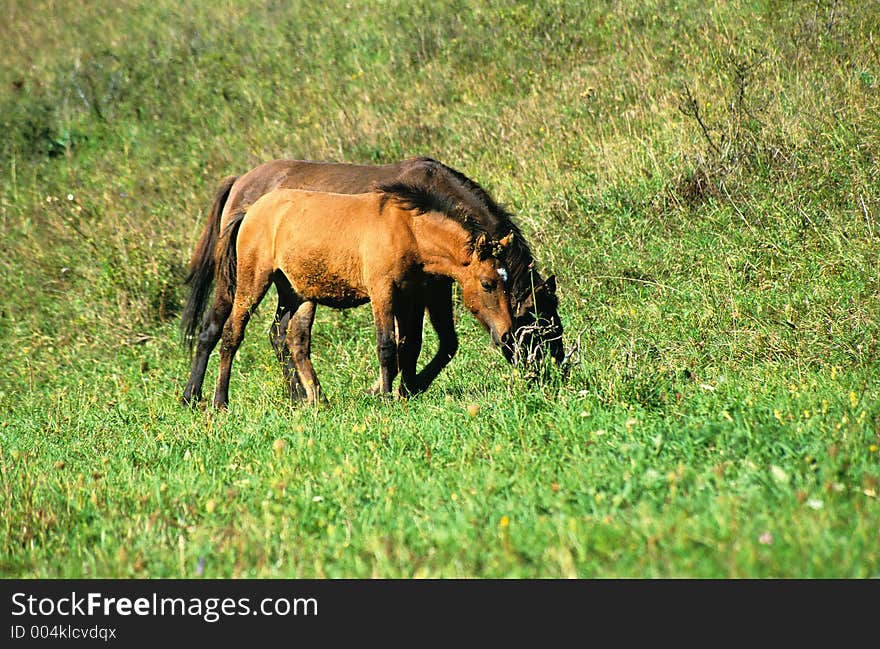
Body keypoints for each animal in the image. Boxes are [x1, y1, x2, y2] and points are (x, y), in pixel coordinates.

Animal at [180, 157, 564, 400]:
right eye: (539, 325)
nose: (550, 376)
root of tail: (240, 185)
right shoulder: (412, 290)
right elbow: (408, 343)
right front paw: (392, 389)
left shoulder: (421, 289)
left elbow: (427, 343)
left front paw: (406, 388)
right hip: (242, 281)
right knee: (216, 330)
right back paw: (197, 397)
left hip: (294, 288)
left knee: (282, 336)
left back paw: (300, 398)